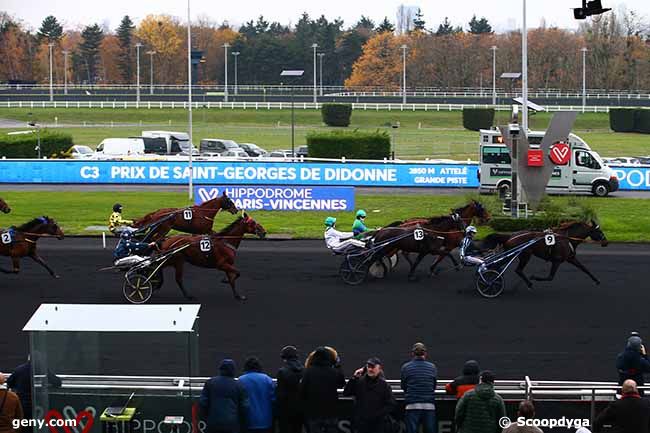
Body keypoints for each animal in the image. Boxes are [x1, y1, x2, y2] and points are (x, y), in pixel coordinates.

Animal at [480, 219, 608, 286]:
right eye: (599, 231)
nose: (606, 242)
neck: (567, 238)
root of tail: (511, 236)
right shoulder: (557, 260)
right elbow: (550, 277)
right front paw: (534, 277)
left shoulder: (571, 258)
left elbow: (584, 269)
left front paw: (596, 280)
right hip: (524, 255)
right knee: (516, 269)